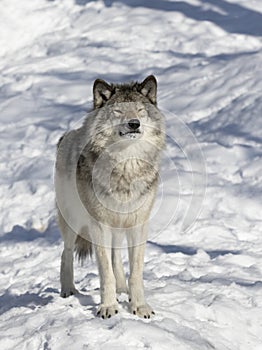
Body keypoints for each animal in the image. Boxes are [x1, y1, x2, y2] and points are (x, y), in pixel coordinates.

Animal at [55, 75, 165, 318]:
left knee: (116, 256)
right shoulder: (99, 225)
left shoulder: (137, 224)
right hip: (73, 221)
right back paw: (68, 290)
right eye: (117, 111)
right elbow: (106, 273)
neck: (125, 165)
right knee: (66, 253)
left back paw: (123, 290)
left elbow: (135, 272)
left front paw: (139, 306)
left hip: (118, 226)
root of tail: (67, 135)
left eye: (139, 110)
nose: (134, 123)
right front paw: (108, 307)